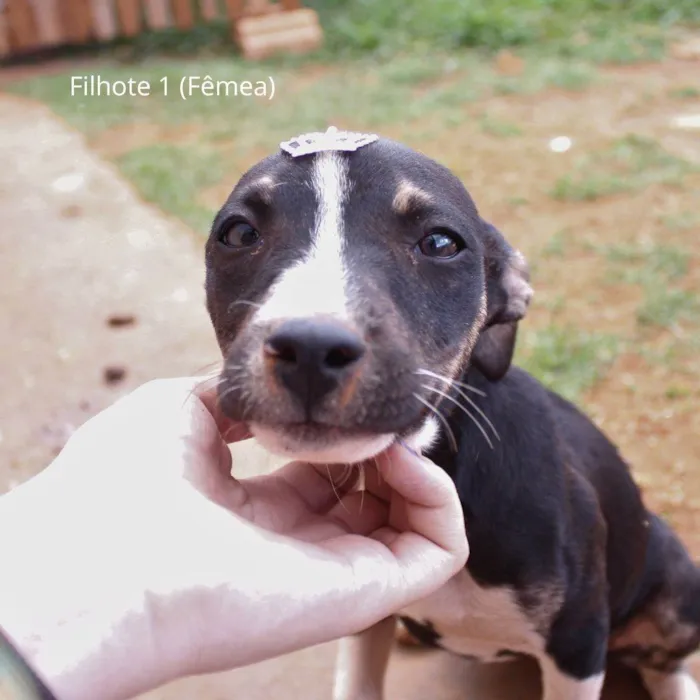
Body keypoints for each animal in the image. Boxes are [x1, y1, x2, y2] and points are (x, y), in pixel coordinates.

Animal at [202, 129, 700, 696]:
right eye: (239, 233)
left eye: (440, 243)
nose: (310, 348)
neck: (451, 466)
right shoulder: (367, 614)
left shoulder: (577, 644)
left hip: (676, 581)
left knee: (663, 661)